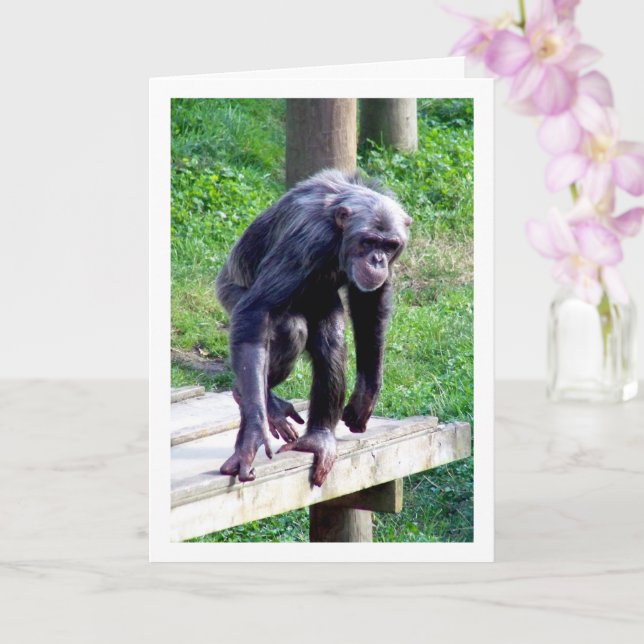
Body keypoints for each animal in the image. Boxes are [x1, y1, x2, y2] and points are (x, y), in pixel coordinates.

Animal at [215, 169, 411, 486]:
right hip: (230, 294)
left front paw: (366, 394)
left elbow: (369, 303)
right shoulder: (306, 242)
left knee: (331, 343)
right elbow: (257, 310)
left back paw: (317, 439)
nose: (377, 260)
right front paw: (252, 437)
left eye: (389, 245)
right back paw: (256, 400)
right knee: (287, 329)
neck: (339, 235)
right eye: (369, 241)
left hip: (322, 303)